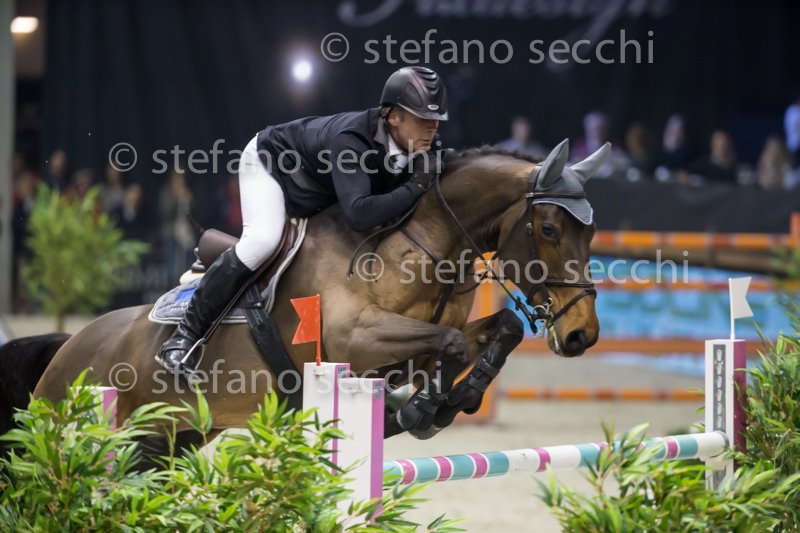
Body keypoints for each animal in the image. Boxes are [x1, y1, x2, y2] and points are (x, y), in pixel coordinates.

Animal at [30, 139, 604, 457]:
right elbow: (450, 344)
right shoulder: (355, 341)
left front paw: (455, 399)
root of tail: (66, 347)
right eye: (549, 229)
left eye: (591, 234)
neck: (419, 243)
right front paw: (424, 410)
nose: (583, 334)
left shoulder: (411, 349)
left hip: (174, 437)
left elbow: (496, 330)